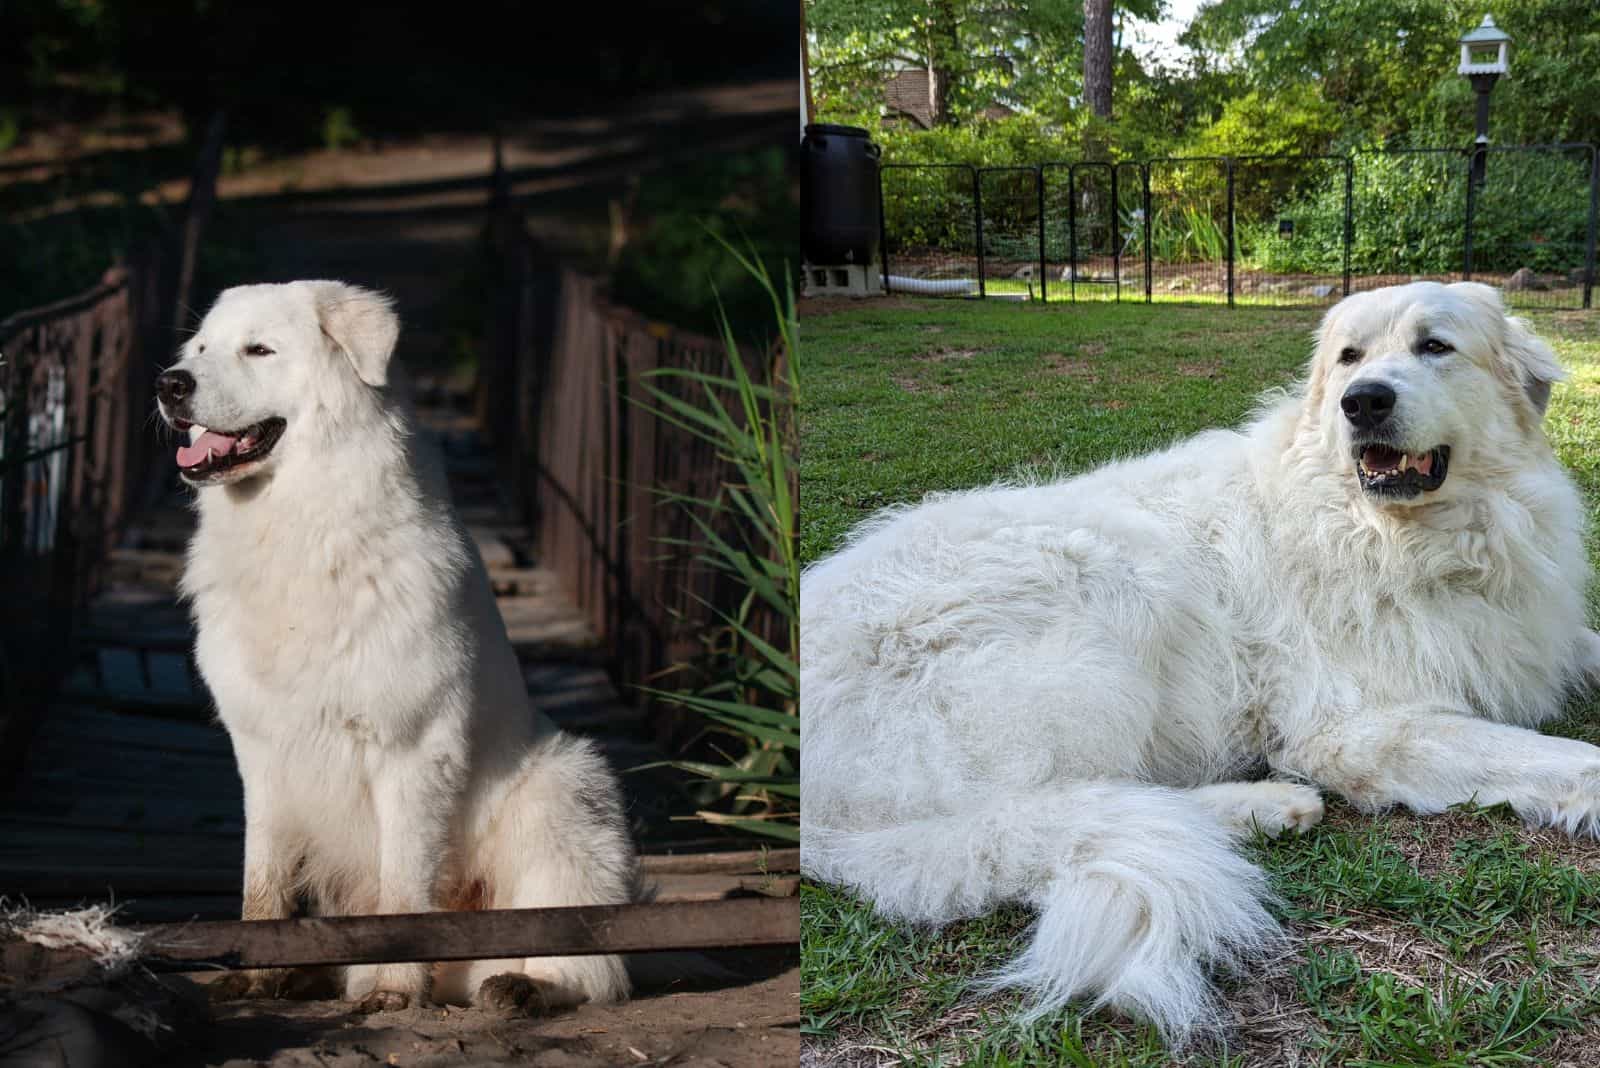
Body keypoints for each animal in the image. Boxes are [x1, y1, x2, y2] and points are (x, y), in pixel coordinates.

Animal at [156, 279, 640, 1016]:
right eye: (202, 349)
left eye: (259, 349)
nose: (169, 384)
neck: (304, 526)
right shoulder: (261, 754)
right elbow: (262, 882)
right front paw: (262, 974)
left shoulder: (411, 748)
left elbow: (404, 892)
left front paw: (392, 986)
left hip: (561, 789)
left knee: (587, 962)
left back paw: (522, 987)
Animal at [806, 281, 1600, 1042]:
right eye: (1349, 358)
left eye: (1435, 346)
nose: (1363, 401)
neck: (1397, 533)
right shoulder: (1359, 728)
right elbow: (1551, 756)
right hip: (1108, 584)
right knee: (1044, 813)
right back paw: (1265, 804)